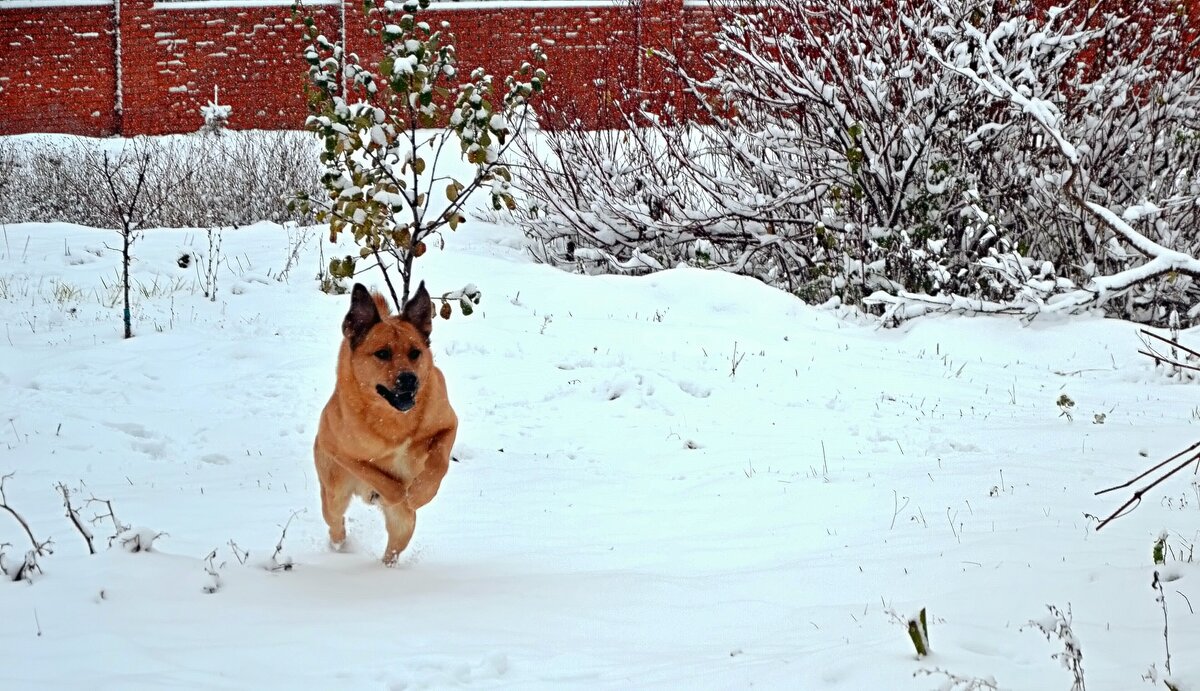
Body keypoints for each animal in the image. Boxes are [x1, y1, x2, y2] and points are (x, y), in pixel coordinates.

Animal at [312, 281, 456, 566]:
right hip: (334, 493)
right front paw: (399, 493)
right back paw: (340, 546)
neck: (396, 418)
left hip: (403, 528)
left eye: (415, 353)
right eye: (382, 353)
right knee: (335, 523)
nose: (409, 379)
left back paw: (387, 567)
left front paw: (420, 493)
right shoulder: (337, 448)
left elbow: (439, 462)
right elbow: (379, 476)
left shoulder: (448, 424)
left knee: (394, 546)